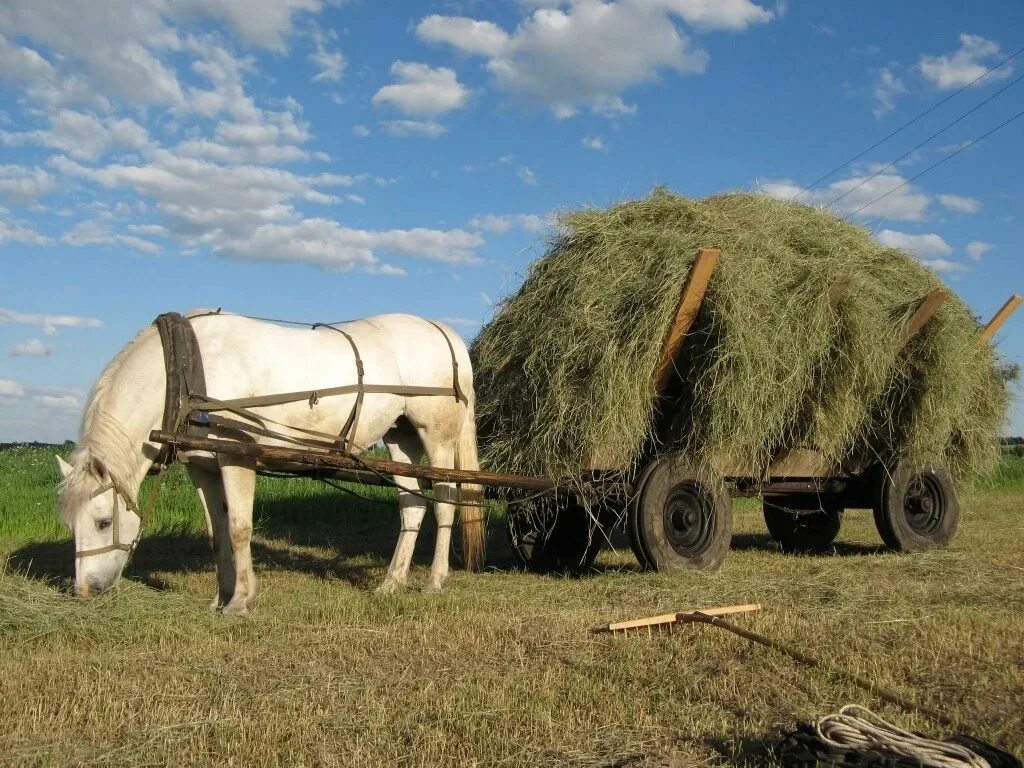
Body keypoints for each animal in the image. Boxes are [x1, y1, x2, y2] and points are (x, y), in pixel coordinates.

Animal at [55, 309, 483, 618]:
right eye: (70, 524)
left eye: (103, 522)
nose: (84, 592)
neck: (187, 370)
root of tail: (441, 330)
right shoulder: (203, 467)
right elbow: (217, 533)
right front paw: (220, 597)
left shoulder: (237, 456)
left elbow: (239, 529)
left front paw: (241, 601)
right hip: (401, 437)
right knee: (412, 505)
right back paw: (392, 582)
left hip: (437, 437)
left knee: (446, 501)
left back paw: (434, 580)